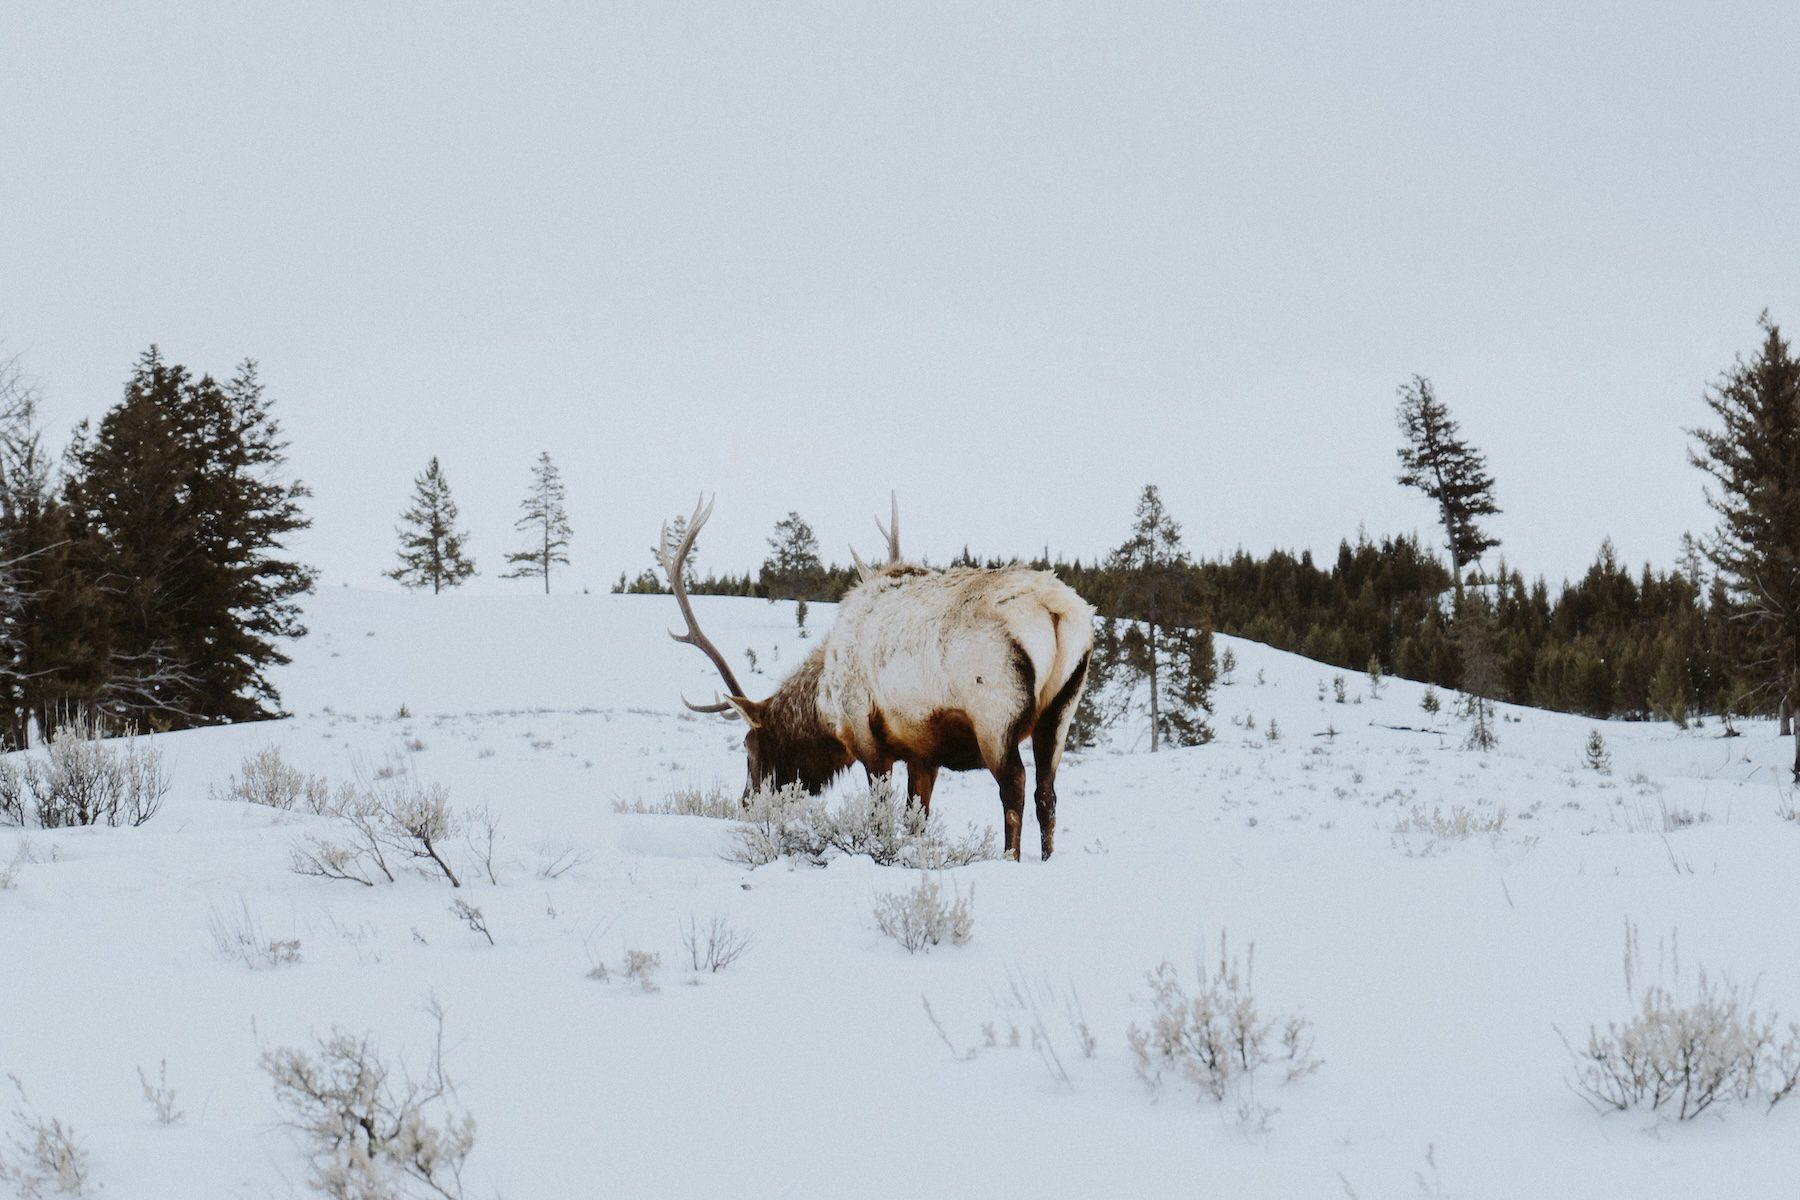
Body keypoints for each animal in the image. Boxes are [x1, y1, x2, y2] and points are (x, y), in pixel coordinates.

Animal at [659, 495, 1095, 861]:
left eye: (748, 750)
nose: (747, 805)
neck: (825, 705)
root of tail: (1055, 609)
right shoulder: (922, 752)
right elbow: (916, 820)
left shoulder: (868, 738)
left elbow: (880, 815)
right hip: (1061, 710)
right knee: (1046, 793)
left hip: (994, 712)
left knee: (1015, 786)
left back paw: (1009, 859)